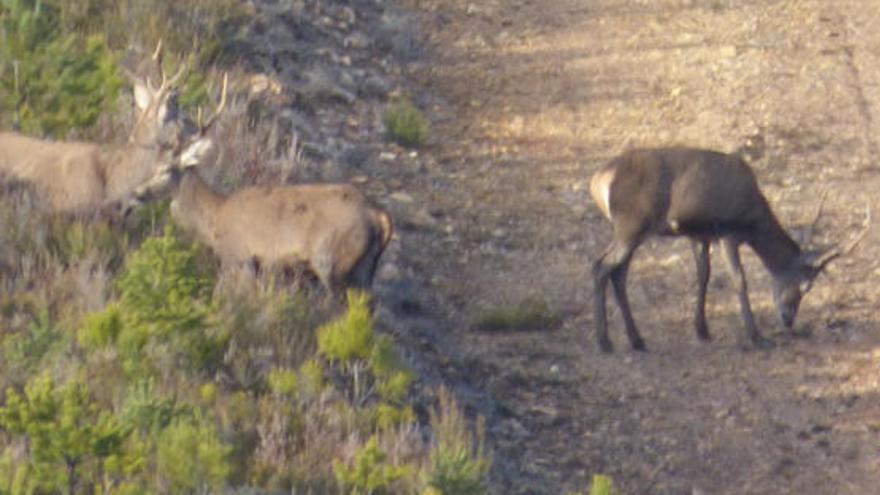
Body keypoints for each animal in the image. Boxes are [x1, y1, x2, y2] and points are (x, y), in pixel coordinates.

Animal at [588, 147, 868, 352]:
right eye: (805, 286)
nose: (788, 319)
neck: (752, 217)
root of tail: (598, 182)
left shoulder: (700, 234)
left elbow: (703, 275)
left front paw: (702, 329)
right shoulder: (727, 233)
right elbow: (738, 279)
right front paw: (756, 336)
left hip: (630, 231)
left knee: (618, 273)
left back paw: (636, 340)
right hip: (631, 226)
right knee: (600, 265)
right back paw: (604, 341)